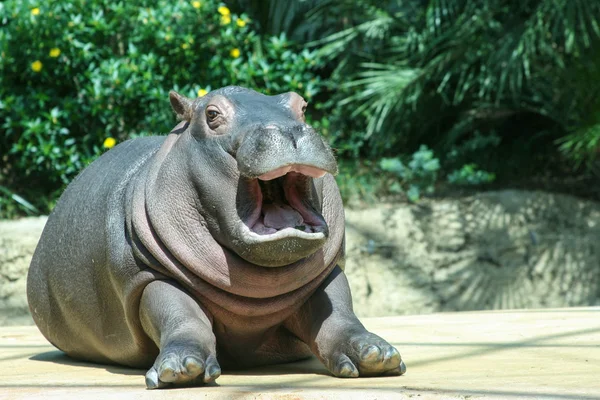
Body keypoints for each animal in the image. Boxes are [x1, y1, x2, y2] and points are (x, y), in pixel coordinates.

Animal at [25, 85, 406, 388]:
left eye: (301, 104)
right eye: (211, 114)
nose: (290, 131)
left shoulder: (326, 274)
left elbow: (337, 312)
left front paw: (376, 355)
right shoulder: (147, 274)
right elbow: (182, 316)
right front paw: (181, 369)